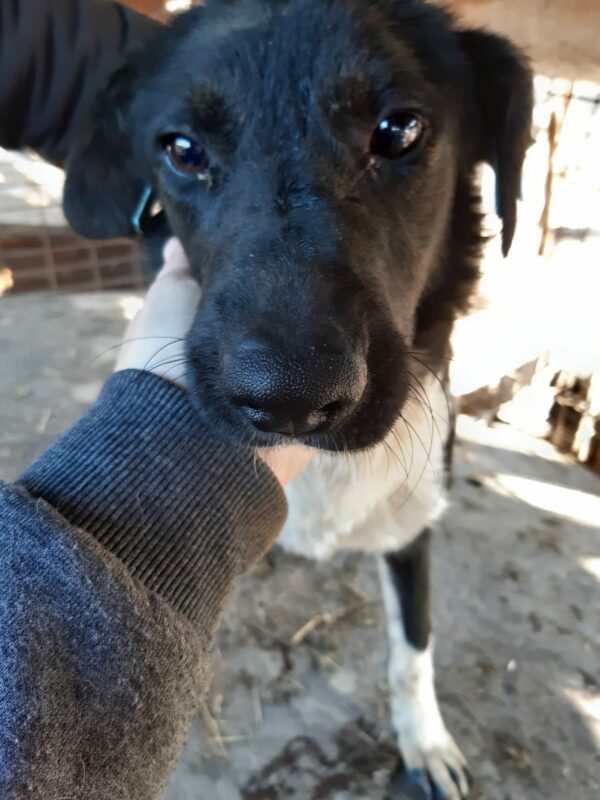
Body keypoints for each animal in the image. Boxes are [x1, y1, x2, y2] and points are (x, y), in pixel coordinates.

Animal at [63, 3, 532, 796]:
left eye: (399, 130)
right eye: (182, 149)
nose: (287, 398)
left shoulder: (414, 525)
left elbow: (414, 650)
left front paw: (425, 742)